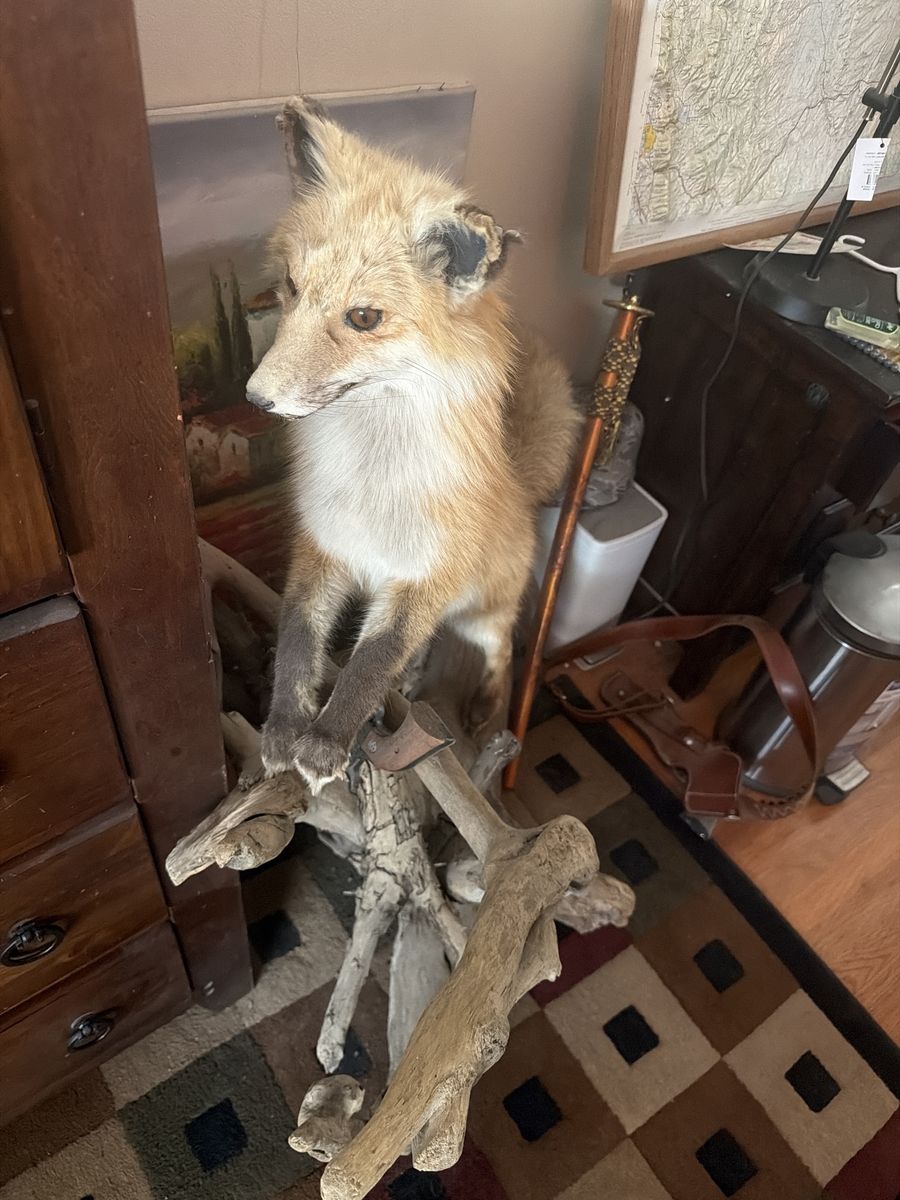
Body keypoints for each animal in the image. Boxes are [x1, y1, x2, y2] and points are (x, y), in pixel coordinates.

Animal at [246, 96, 580, 794]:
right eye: (291, 286)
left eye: (363, 318)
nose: (256, 398)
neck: (371, 483)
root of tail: (519, 488)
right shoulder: (321, 549)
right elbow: (298, 642)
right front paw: (285, 729)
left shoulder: (424, 579)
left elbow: (371, 661)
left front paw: (326, 742)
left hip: (479, 610)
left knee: (504, 651)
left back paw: (484, 707)